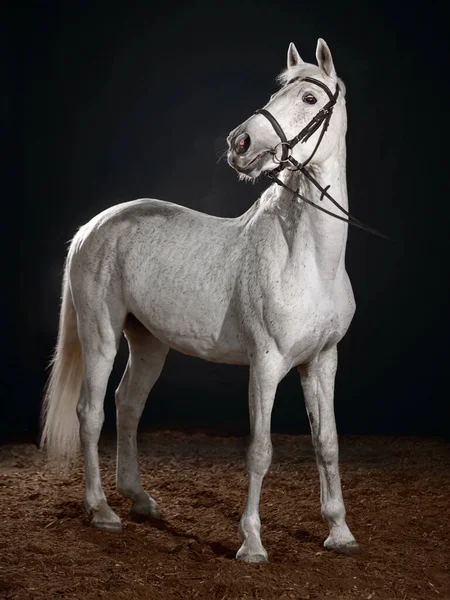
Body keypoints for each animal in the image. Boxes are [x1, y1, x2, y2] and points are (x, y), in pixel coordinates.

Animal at [41, 38, 358, 564]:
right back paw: (101, 510)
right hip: (100, 335)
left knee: (128, 404)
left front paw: (339, 532)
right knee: (91, 412)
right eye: (275, 92)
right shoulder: (266, 364)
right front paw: (251, 543)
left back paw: (140, 500)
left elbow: (328, 443)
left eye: (310, 98)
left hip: (148, 343)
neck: (308, 260)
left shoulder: (323, 361)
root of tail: (95, 225)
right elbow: (260, 450)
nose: (240, 144)